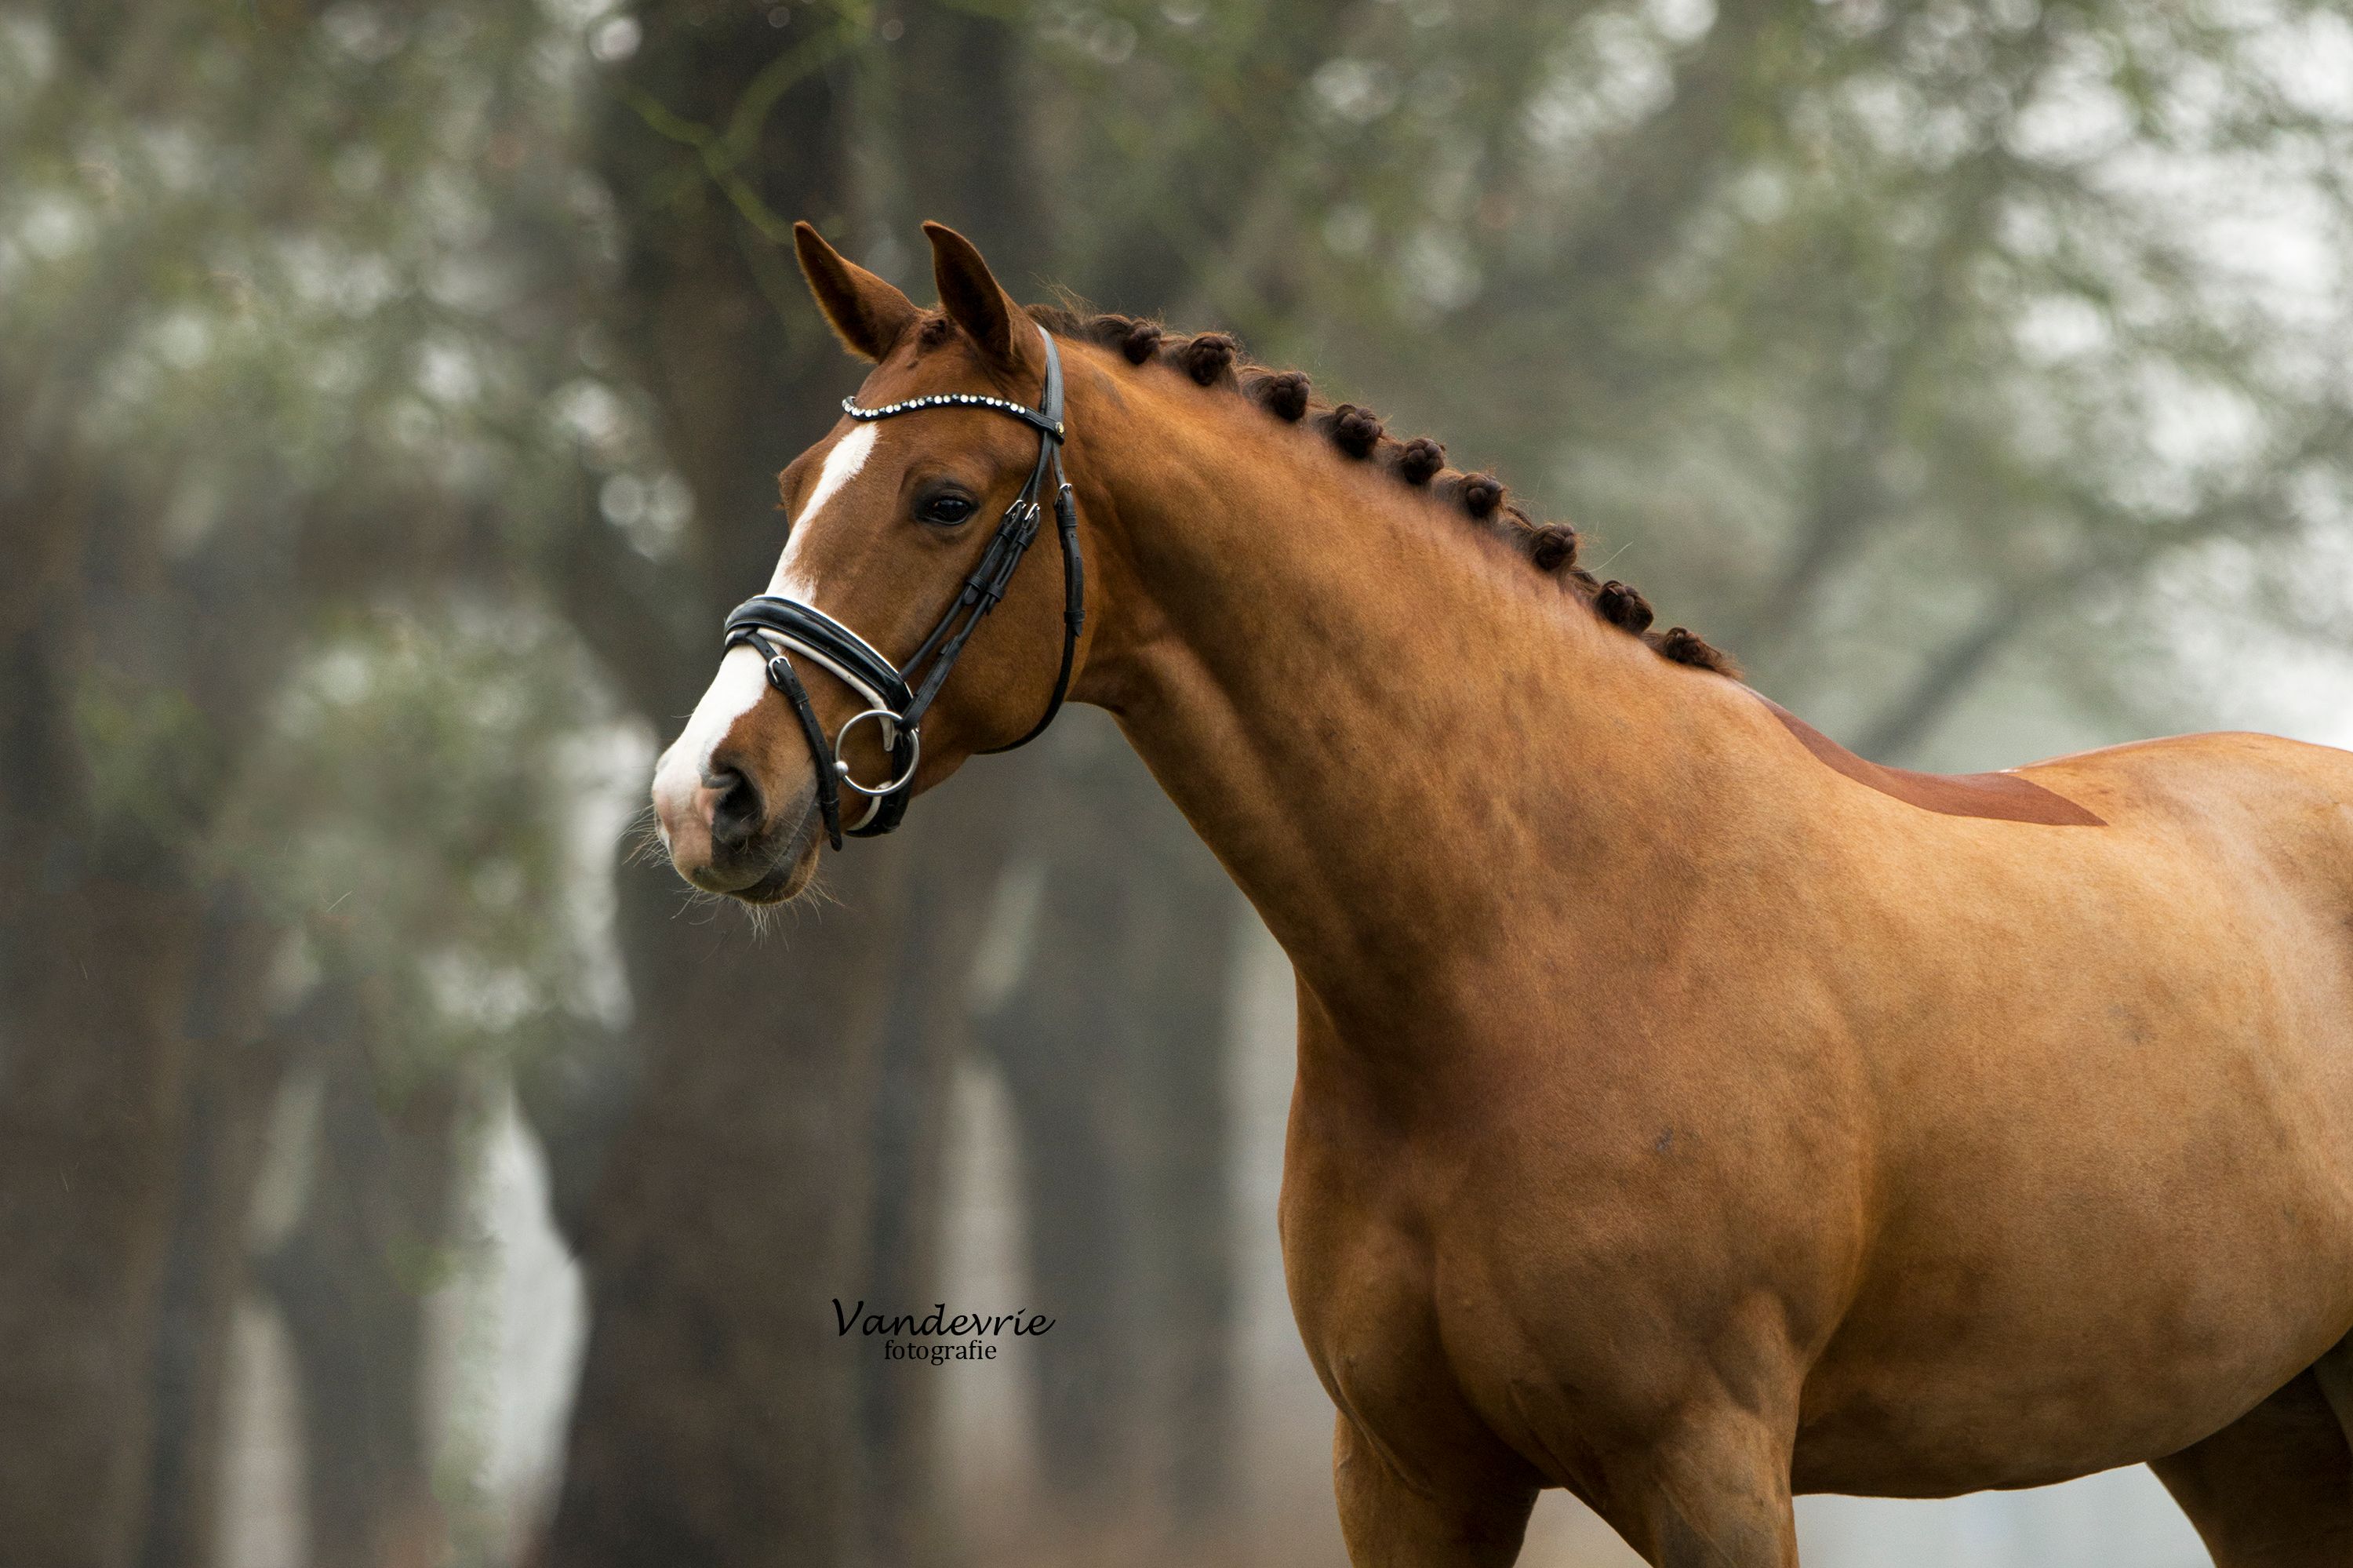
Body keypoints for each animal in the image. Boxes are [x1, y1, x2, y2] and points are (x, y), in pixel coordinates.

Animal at [648, 221, 2353, 1567]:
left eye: (942, 496)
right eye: (799, 479)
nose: (706, 794)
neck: (1539, 941)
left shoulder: (1712, 1472)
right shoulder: (1408, 1473)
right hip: (2253, 1431)